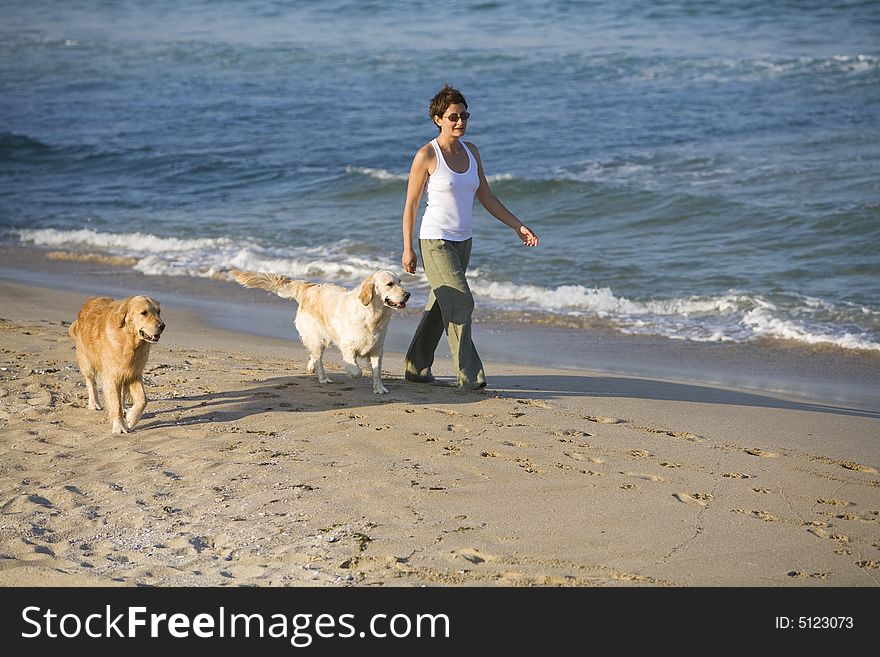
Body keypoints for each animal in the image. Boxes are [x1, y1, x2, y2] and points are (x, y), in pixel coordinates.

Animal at [69, 294, 165, 434]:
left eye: (158, 311)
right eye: (144, 313)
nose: (162, 326)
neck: (129, 341)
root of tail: (89, 301)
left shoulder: (134, 373)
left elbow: (142, 400)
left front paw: (131, 418)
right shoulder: (112, 375)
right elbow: (115, 403)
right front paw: (119, 426)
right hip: (86, 361)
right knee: (91, 382)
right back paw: (94, 404)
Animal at [234, 268, 412, 392]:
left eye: (400, 281)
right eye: (390, 284)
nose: (408, 294)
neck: (373, 315)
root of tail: (308, 287)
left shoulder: (377, 348)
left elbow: (377, 371)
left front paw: (379, 388)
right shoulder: (348, 347)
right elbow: (357, 371)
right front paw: (351, 372)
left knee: (313, 354)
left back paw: (311, 366)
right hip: (317, 337)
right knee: (318, 357)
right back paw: (323, 378)